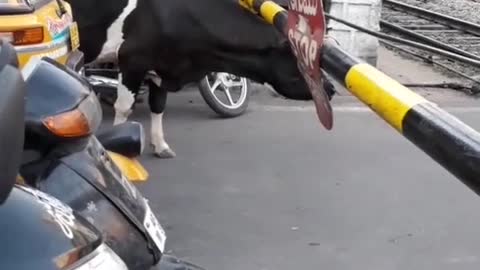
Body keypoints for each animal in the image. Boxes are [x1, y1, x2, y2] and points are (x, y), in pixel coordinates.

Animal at [65, 0, 336, 158]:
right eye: (303, 63)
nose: (331, 88)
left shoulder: (162, 66)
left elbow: (158, 105)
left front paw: (161, 145)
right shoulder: (133, 60)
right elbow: (124, 107)